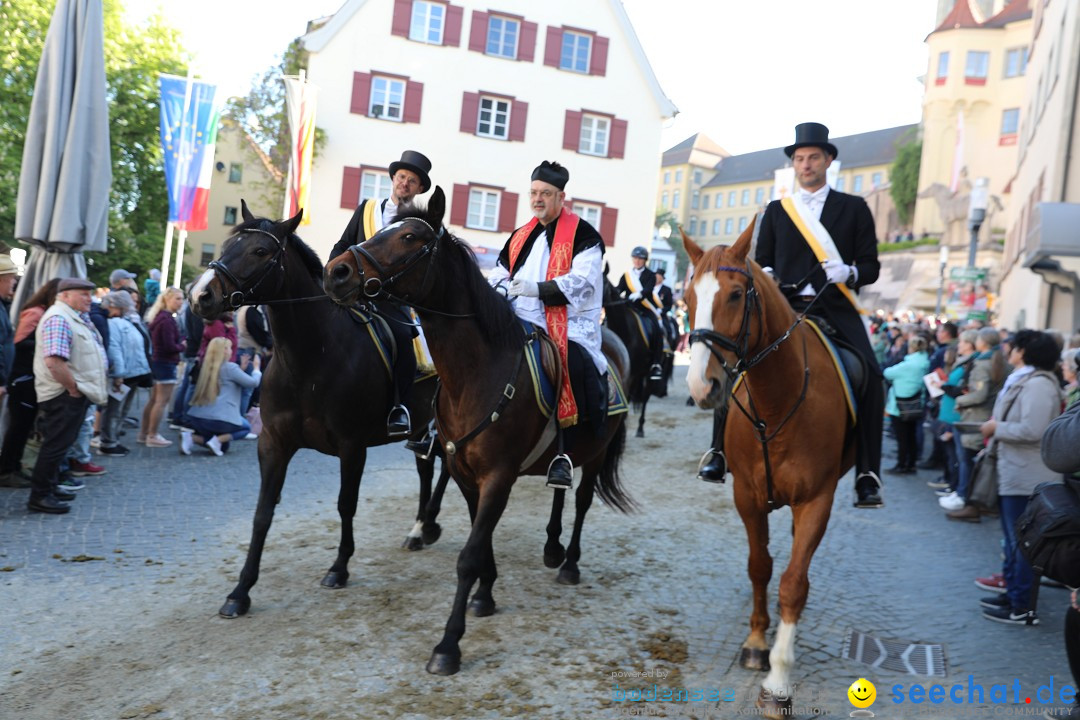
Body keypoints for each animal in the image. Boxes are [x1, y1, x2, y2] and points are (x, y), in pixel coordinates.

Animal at [190, 202, 447, 621]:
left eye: (260, 251)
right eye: (228, 245)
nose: (200, 295)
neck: (309, 359)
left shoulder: (351, 446)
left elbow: (346, 504)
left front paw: (339, 568)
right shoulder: (273, 444)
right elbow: (262, 513)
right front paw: (240, 591)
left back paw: (427, 526)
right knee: (427, 469)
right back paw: (419, 529)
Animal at [319, 188, 630, 677]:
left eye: (409, 237)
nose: (336, 271)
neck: (477, 372)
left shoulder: (497, 478)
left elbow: (468, 557)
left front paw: (449, 644)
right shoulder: (466, 476)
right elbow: (479, 544)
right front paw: (485, 595)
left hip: (597, 453)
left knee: (581, 500)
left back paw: (570, 563)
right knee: (560, 487)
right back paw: (552, 546)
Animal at [682, 222, 851, 716]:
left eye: (737, 295)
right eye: (687, 297)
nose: (700, 386)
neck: (778, 403)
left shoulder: (817, 500)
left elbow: (793, 582)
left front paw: (778, 679)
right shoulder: (748, 496)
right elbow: (759, 566)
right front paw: (758, 642)